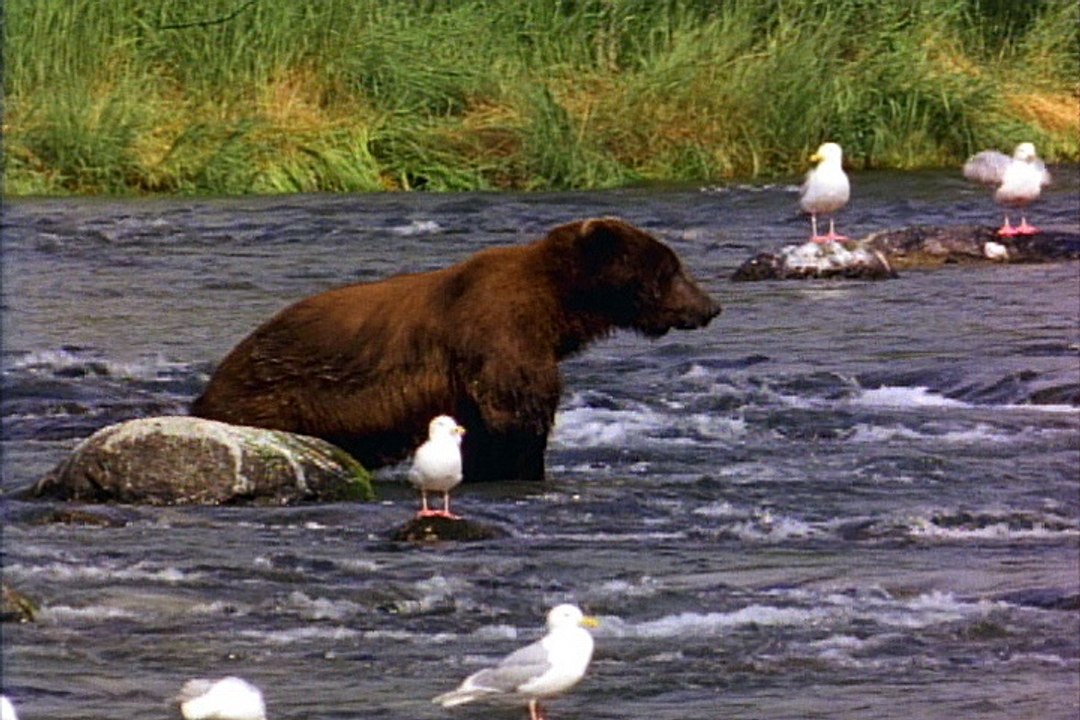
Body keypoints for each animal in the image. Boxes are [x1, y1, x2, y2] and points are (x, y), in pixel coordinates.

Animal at [191, 217, 720, 482]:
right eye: (671, 269)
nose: (710, 306)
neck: (556, 311)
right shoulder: (498, 339)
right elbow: (516, 422)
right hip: (275, 397)